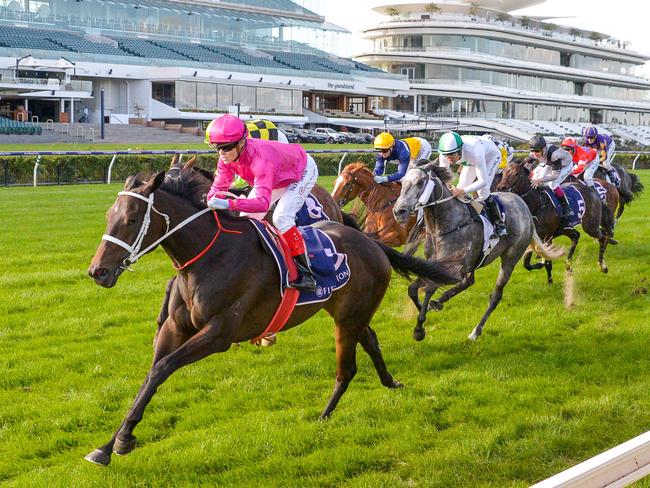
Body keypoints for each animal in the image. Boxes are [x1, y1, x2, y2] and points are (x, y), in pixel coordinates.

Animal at [85, 170, 456, 468]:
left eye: (132, 219)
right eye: (108, 215)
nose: (97, 271)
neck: (209, 257)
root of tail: (370, 241)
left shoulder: (219, 335)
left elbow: (163, 368)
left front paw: (121, 441)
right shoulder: (175, 329)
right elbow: (150, 377)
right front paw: (111, 444)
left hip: (348, 319)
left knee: (347, 369)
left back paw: (323, 416)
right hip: (349, 312)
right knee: (371, 341)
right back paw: (390, 382)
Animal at [390, 162, 560, 342]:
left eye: (420, 182)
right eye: (403, 182)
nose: (399, 211)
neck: (446, 225)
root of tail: (525, 209)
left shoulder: (453, 268)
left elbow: (429, 288)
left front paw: (419, 329)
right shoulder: (433, 265)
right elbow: (413, 289)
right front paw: (425, 307)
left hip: (510, 259)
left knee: (495, 296)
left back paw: (475, 332)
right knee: (469, 281)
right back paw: (440, 302)